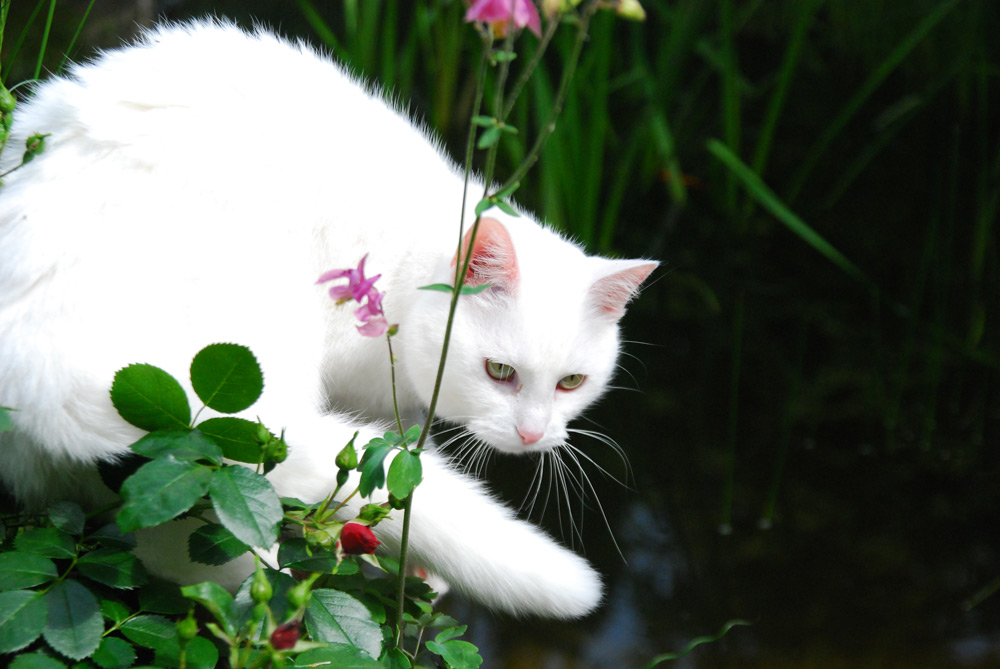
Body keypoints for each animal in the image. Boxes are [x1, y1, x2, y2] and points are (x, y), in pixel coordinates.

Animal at [0, 19, 656, 616]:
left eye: (572, 383)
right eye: (500, 372)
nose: (532, 435)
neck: (405, 266)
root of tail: (50, 379)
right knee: (198, 561)